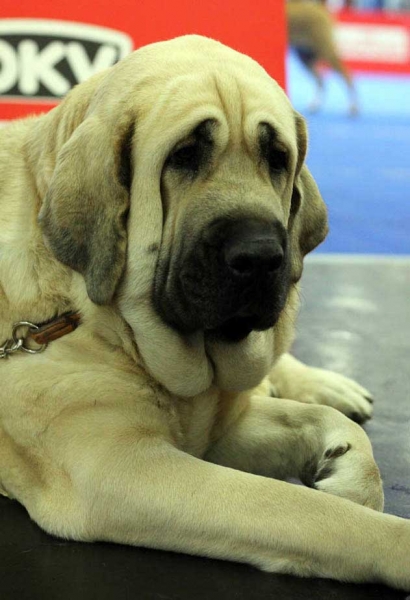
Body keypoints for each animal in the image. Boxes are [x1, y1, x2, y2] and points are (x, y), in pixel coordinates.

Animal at [0, 35, 408, 588]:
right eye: (184, 155)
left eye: (277, 157)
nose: (260, 256)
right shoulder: (118, 465)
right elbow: (294, 509)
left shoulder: (220, 424)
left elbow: (324, 428)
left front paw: (348, 474)